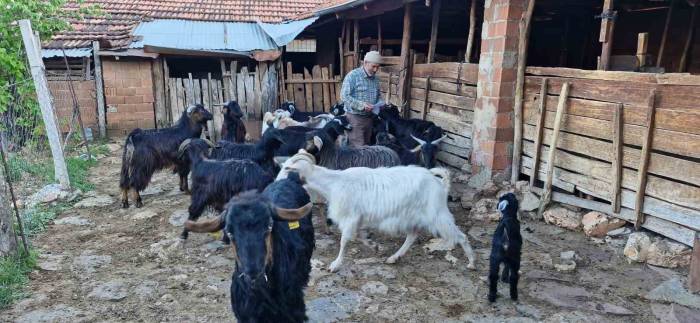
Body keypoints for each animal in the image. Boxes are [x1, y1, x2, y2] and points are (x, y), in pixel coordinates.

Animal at [278, 151, 476, 272]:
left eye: (287, 168)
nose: (276, 181)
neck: (334, 183)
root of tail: (441, 184)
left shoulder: (351, 217)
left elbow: (344, 241)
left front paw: (335, 265)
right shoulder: (358, 219)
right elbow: (359, 237)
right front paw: (374, 246)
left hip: (438, 215)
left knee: (461, 237)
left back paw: (471, 263)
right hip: (411, 217)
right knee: (412, 236)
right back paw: (393, 257)